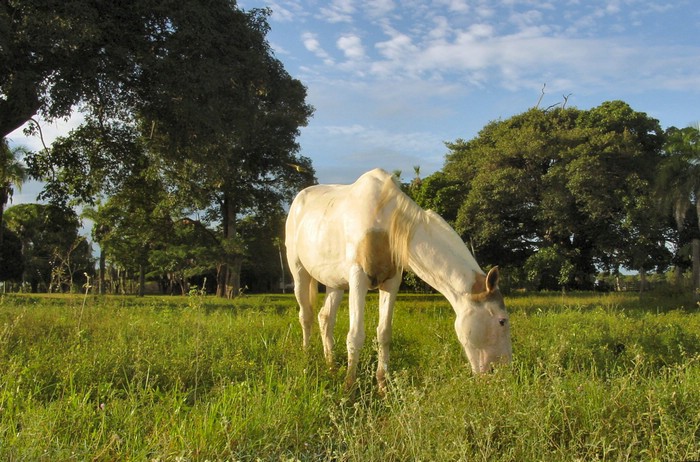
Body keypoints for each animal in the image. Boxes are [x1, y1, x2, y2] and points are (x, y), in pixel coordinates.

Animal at [286, 168, 516, 392]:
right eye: (502, 321)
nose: (501, 373)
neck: (384, 223)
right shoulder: (358, 279)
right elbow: (355, 336)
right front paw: (348, 389)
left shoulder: (391, 282)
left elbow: (384, 334)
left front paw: (383, 387)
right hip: (299, 271)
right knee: (305, 315)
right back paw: (307, 358)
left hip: (335, 283)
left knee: (325, 318)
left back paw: (331, 367)